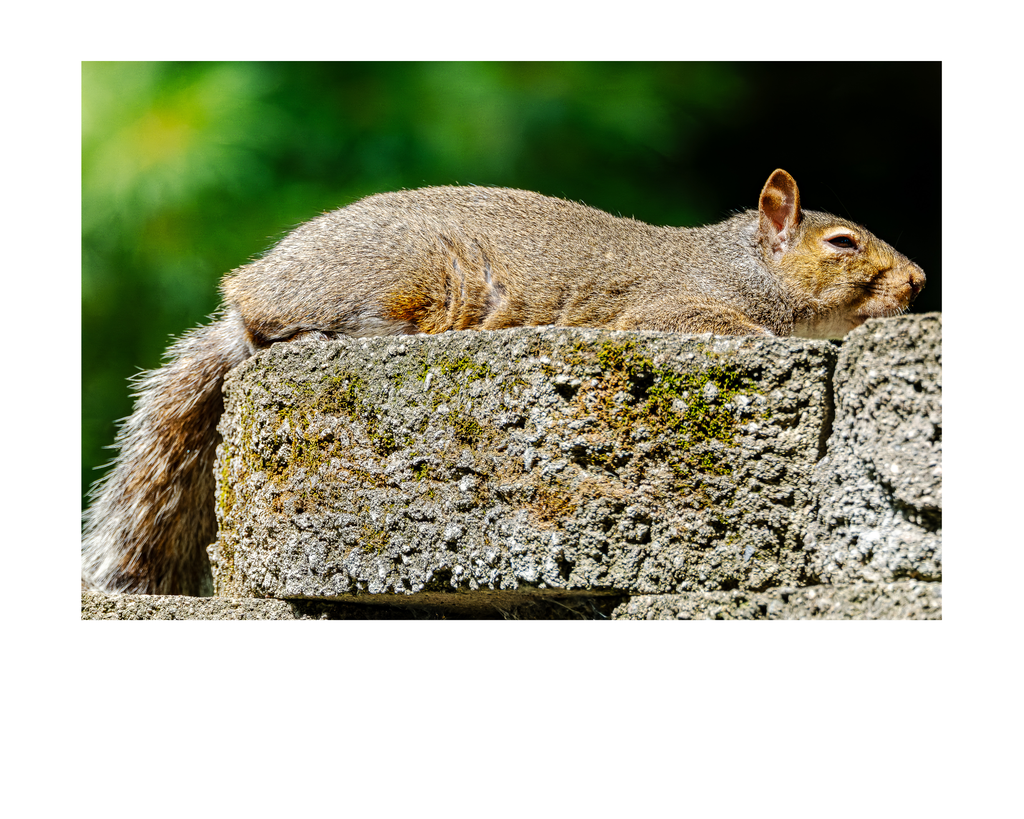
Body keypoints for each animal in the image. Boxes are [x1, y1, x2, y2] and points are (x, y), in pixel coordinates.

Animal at [82, 169, 925, 596]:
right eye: (842, 243)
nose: (919, 281)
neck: (739, 266)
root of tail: (249, 287)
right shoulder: (667, 309)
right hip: (403, 280)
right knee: (280, 329)